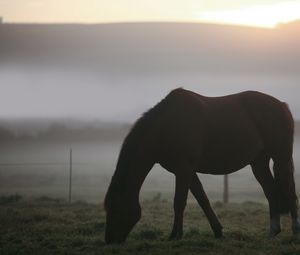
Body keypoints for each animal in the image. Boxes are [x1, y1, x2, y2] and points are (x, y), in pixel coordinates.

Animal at [103, 88, 300, 244]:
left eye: (115, 208)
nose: (109, 240)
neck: (166, 127)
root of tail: (282, 105)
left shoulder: (184, 170)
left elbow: (179, 202)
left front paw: (174, 236)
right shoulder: (187, 172)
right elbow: (202, 200)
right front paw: (218, 231)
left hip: (281, 158)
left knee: (290, 191)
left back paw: (295, 232)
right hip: (259, 163)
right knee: (271, 192)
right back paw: (273, 232)